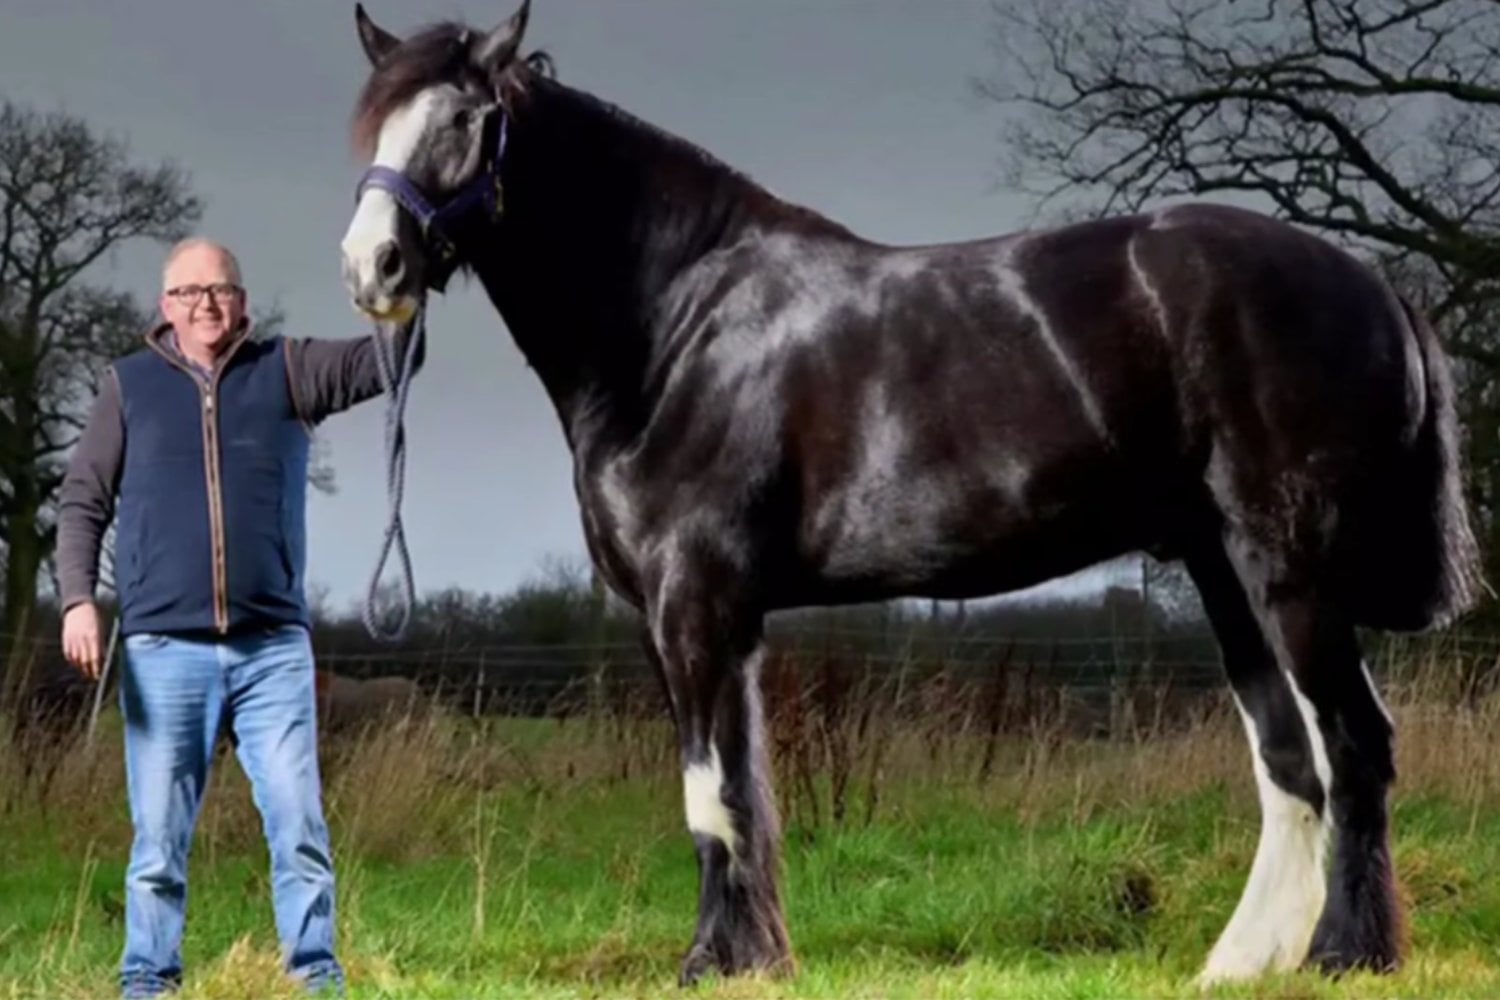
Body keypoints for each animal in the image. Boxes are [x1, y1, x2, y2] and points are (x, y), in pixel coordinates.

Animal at [336, 2, 1485, 986]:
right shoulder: (706, 622)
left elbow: (710, 794)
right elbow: (744, 790)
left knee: (1355, 747)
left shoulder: (694, 603)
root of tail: (1373, 283)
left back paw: (1347, 954)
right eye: (373, 125)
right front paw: (758, 957)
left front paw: (709, 962)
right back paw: (1240, 963)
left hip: (1288, 570)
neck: (676, 324)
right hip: (1223, 573)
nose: (372, 266)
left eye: (468, 120)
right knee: (1291, 764)